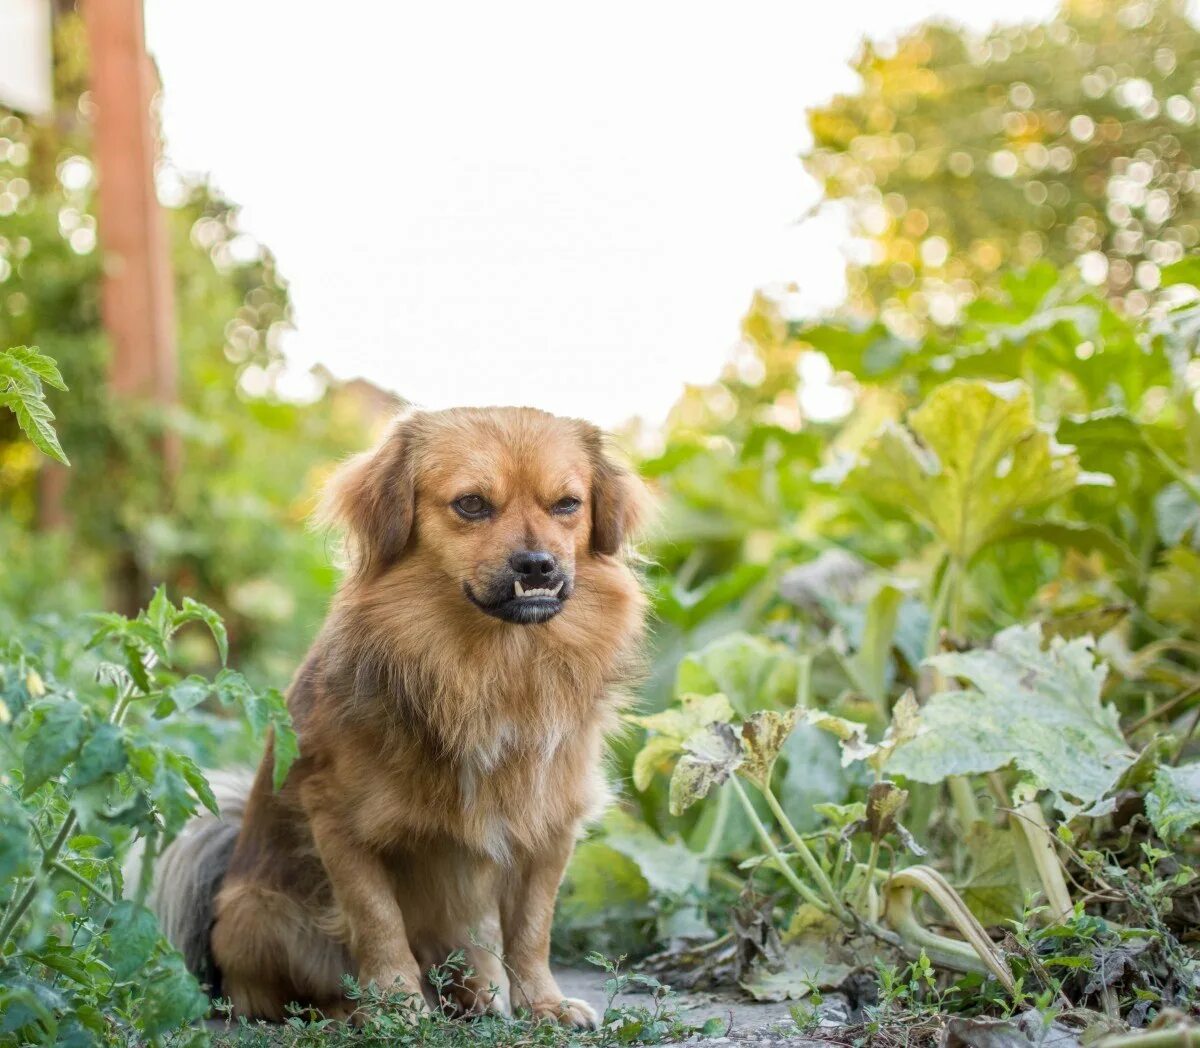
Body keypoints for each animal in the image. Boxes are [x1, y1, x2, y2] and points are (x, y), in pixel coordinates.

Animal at [157, 405, 657, 1022]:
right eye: (472, 504)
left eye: (567, 505)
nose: (538, 565)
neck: (491, 666)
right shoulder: (339, 824)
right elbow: (378, 921)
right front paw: (396, 1003)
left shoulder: (549, 824)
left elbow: (532, 927)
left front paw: (544, 1004)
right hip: (263, 914)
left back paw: (477, 997)